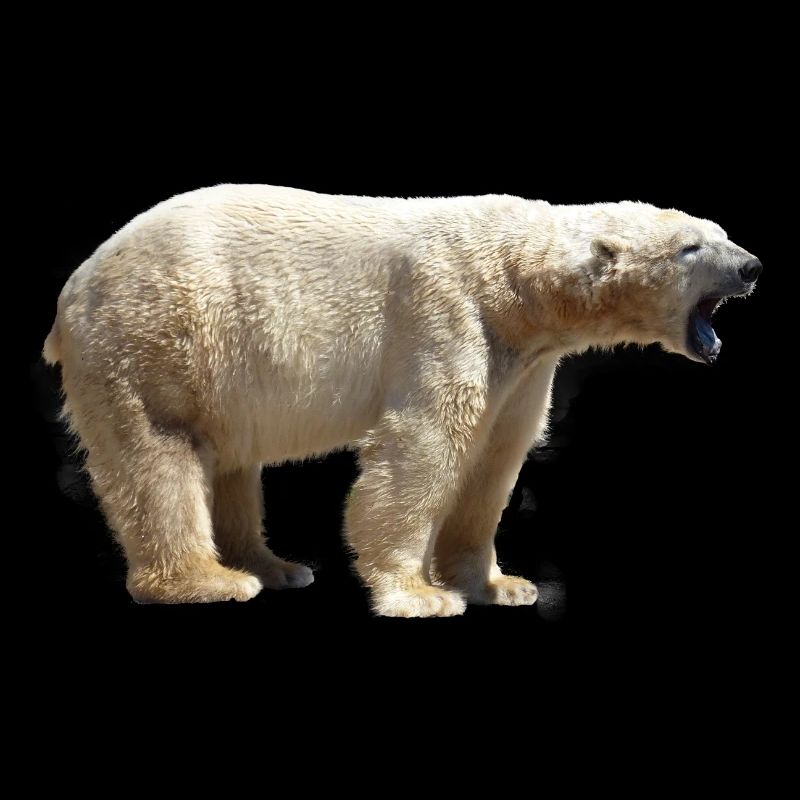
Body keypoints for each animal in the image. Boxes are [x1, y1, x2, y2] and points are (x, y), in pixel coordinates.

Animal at [42, 185, 761, 617]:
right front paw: (419, 594)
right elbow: (423, 446)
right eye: (690, 247)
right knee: (160, 455)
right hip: (158, 338)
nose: (752, 265)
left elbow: (495, 458)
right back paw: (208, 580)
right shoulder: (444, 312)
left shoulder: (525, 362)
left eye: (717, 231)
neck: (517, 281)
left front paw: (501, 585)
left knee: (230, 461)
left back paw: (275, 567)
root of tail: (74, 285)